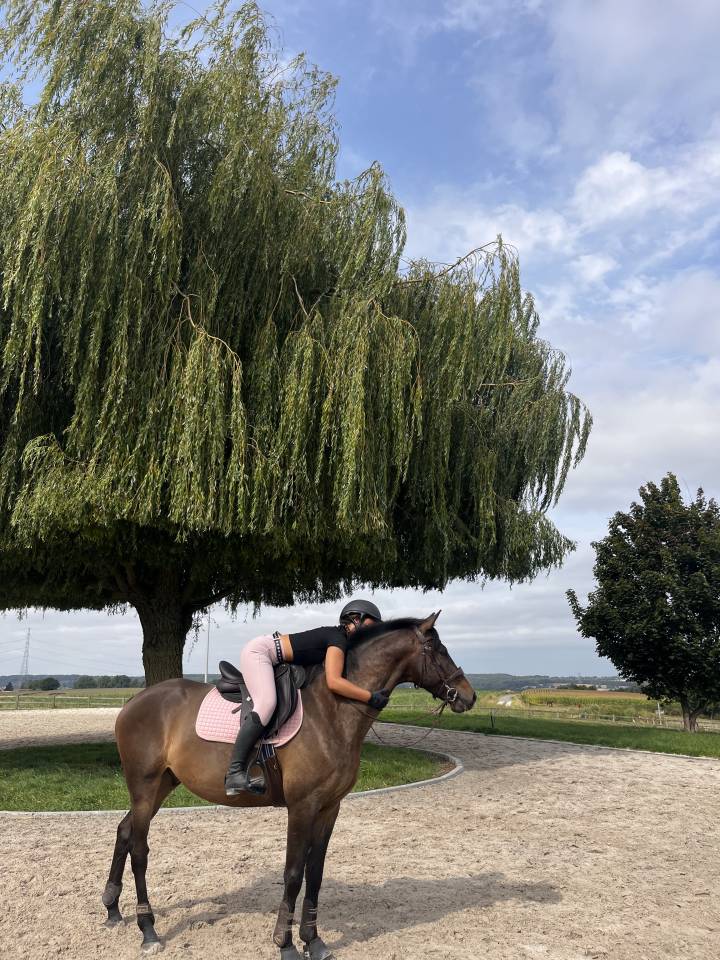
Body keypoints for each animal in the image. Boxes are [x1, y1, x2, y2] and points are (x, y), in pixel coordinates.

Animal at [104, 612, 477, 957]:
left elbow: (316, 874)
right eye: (438, 649)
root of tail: (133, 702)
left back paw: (112, 908)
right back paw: (148, 930)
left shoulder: (329, 807)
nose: (469, 697)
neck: (333, 710)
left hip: (161, 785)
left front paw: (314, 941)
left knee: (125, 831)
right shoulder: (302, 807)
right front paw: (285, 944)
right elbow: (294, 873)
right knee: (139, 848)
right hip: (145, 785)